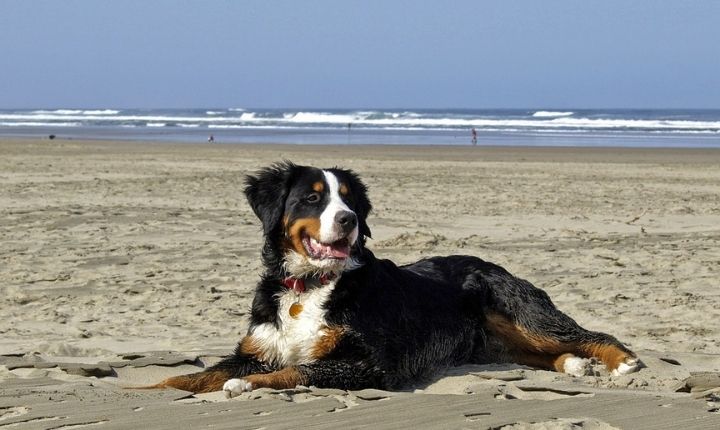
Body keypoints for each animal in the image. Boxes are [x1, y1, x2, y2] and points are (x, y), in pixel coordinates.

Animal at [152, 163, 640, 398]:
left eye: (349, 202)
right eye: (312, 198)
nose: (348, 220)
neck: (309, 286)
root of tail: (491, 263)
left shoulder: (371, 363)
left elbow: (298, 369)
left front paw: (249, 385)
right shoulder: (254, 349)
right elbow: (191, 378)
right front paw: (149, 390)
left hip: (526, 314)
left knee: (590, 334)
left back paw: (622, 361)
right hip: (495, 342)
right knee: (542, 353)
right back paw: (573, 365)